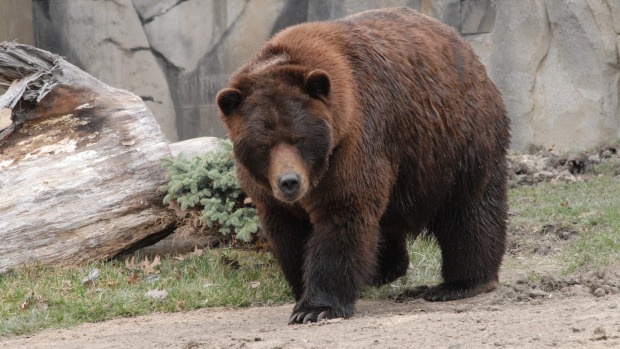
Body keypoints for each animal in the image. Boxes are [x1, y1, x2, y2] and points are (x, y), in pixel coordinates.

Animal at [217, 7, 508, 324]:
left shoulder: (354, 143)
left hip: (456, 141)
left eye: (299, 138)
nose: (290, 182)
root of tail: (466, 49)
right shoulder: (267, 193)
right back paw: (384, 269)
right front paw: (302, 289)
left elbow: (343, 214)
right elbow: (289, 233)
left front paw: (316, 308)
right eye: (263, 144)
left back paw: (461, 283)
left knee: (469, 210)